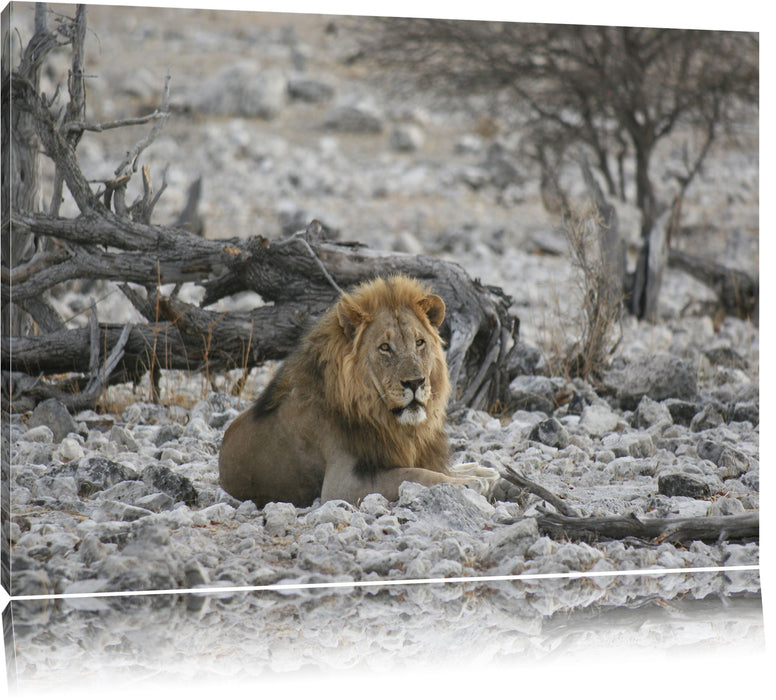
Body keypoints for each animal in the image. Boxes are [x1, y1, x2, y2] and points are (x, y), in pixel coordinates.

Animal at [217, 274, 498, 508]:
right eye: (385, 348)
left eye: (420, 343)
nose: (415, 382)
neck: (385, 418)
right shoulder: (341, 485)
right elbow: (414, 474)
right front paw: (470, 483)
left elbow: (433, 468)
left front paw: (480, 472)